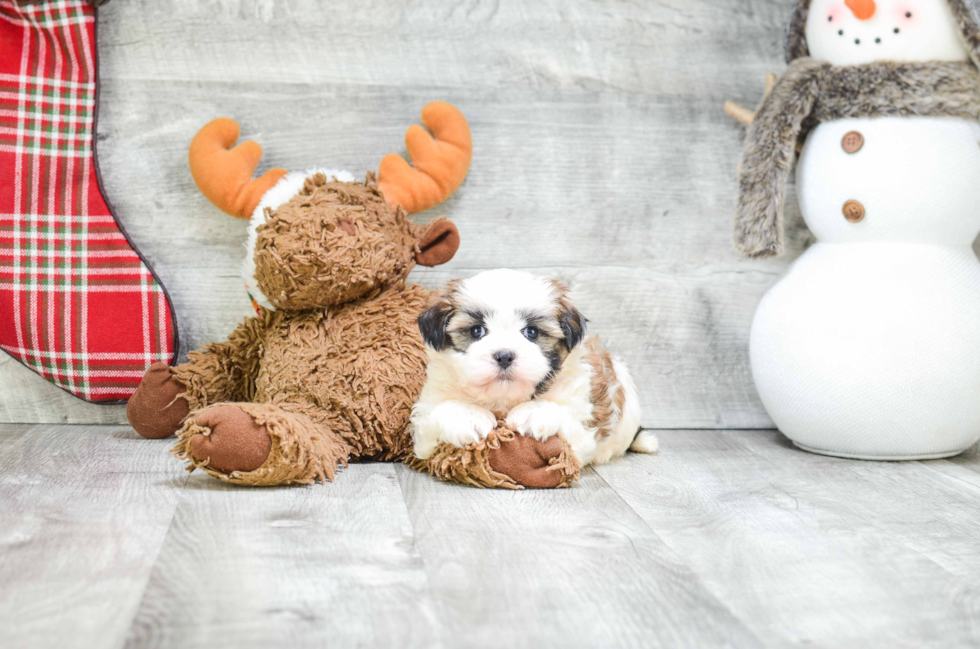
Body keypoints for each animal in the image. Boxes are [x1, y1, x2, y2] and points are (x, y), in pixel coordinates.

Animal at [410, 268, 656, 466]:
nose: (504, 356)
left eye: (532, 332)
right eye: (476, 331)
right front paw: (467, 415)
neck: (503, 400)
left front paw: (535, 412)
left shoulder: (582, 428)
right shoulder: (425, 428)